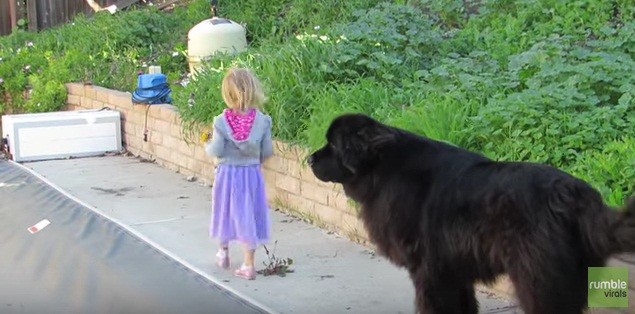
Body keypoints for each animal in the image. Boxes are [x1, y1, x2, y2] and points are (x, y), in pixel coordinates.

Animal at [308, 113, 635, 314]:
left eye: (333, 145)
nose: (309, 159)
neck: (382, 170)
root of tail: (577, 195)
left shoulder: (428, 270)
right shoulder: (453, 268)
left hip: (538, 280)